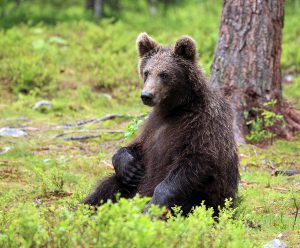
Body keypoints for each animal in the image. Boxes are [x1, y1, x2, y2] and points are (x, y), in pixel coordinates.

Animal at [82, 33, 239, 215]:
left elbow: (196, 160)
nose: (146, 95)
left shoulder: (204, 123)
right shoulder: (152, 126)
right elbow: (136, 147)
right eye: (146, 72)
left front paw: (152, 208)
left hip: (206, 198)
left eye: (164, 74)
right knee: (110, 185)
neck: (175, 108)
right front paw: (129, 166)